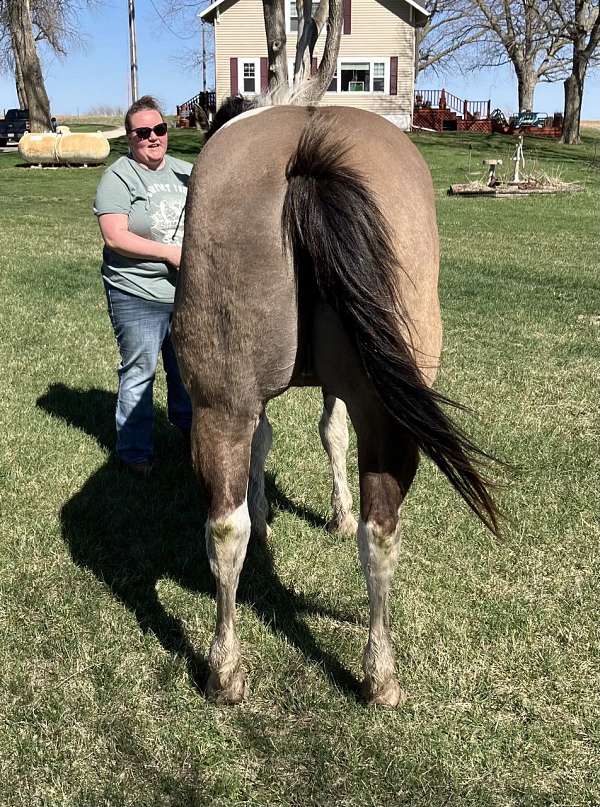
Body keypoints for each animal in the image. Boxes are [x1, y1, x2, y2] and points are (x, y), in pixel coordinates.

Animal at [171, 99, 500, 708]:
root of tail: (306, 154)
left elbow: (274, 444)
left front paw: (273, 514)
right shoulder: (337, 392)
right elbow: (331, 433)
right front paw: (335, 514)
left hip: (224, 405)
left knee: (228, 530)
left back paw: (227, 670)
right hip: (370, 414)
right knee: (377, 531)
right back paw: (376, 674)